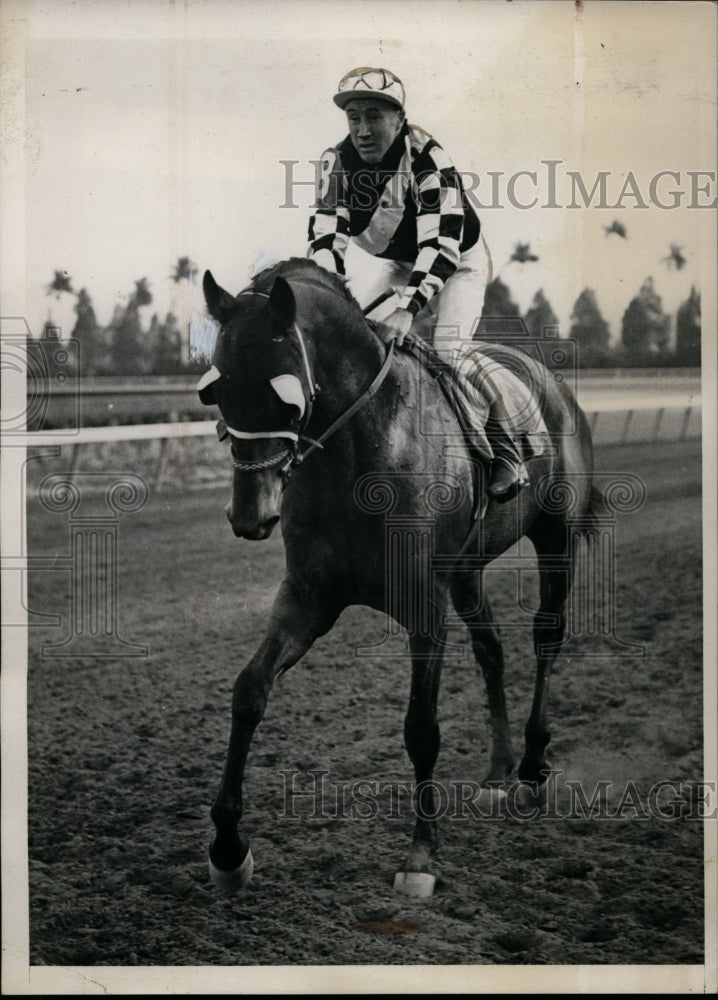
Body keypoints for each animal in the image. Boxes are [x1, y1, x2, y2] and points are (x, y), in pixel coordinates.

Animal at [198, 254, 600, 896]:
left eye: (284, 400)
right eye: (219, 393)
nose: (249, 516)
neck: (357, 453)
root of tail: (552, 382)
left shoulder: (422, 606)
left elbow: (420, 728)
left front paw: (421, 854)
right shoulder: (309, 596)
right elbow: (249, 691)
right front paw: (229, 850)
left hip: (555, 537)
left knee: (547, 635)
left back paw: (534, 764)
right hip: (466, 569)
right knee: (491, 647)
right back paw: (497, 773)